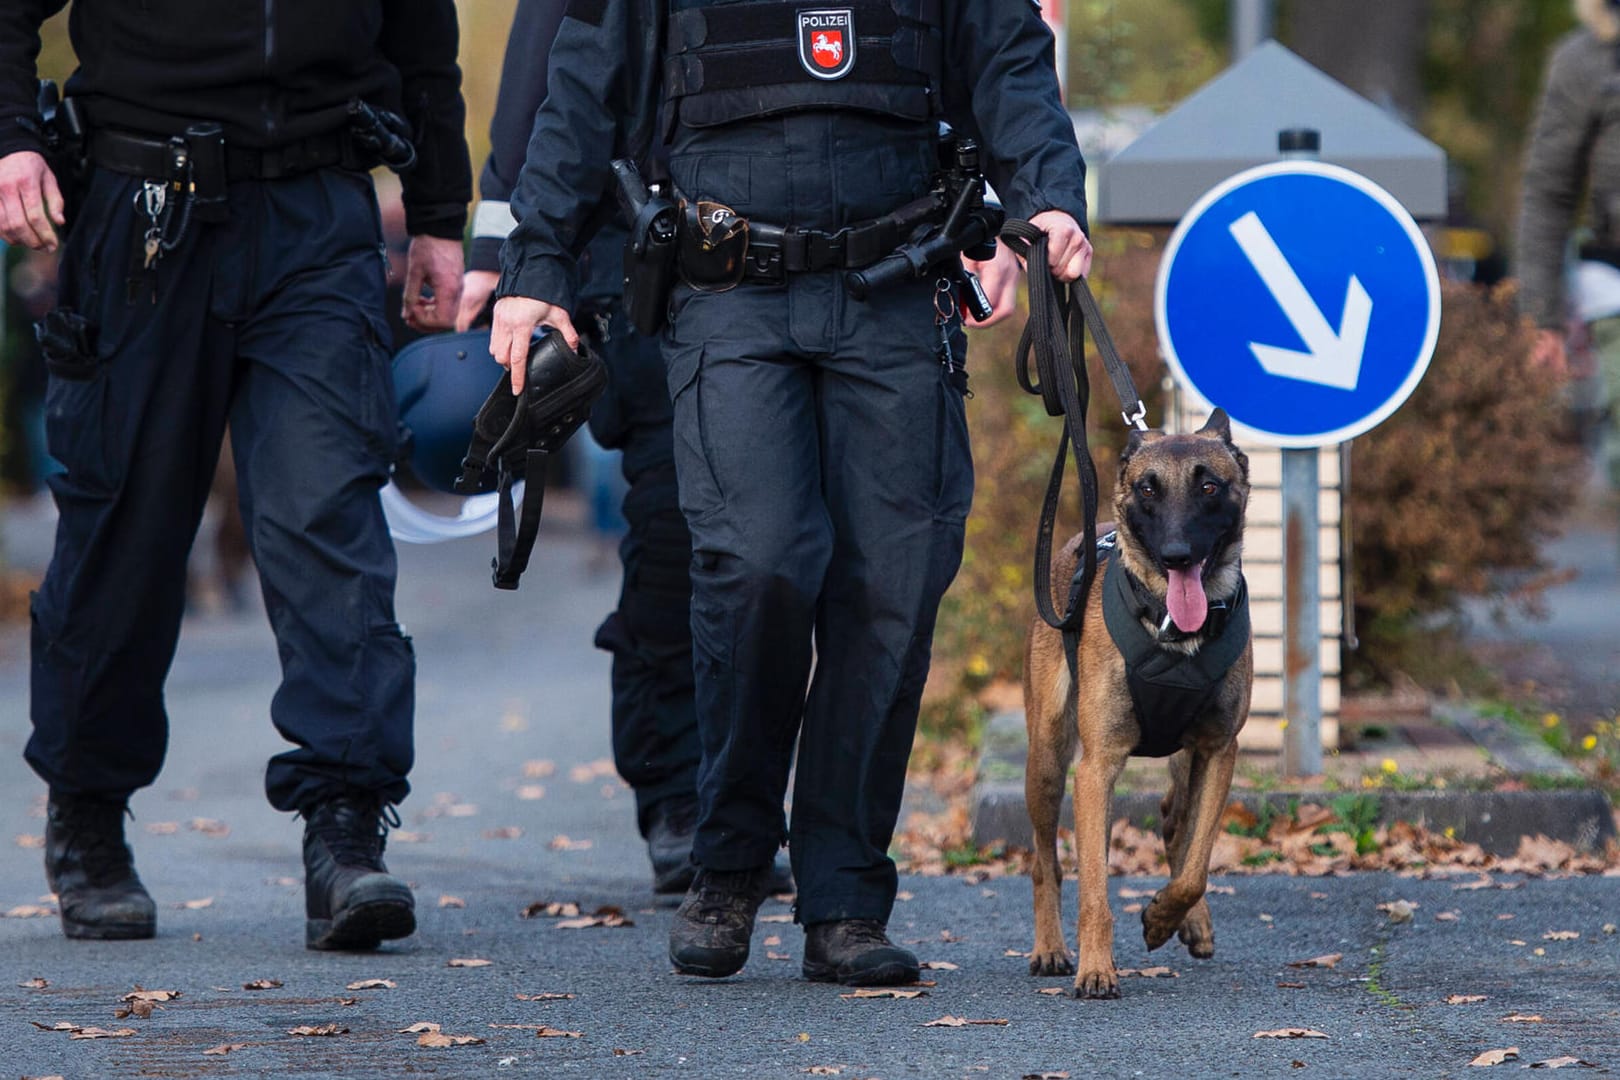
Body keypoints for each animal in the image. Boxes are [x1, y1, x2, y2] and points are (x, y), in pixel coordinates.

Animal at [1023, 409, 1250, 1003]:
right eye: (1148, 489)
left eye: (1209, 487)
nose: (1176, 555)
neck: (1173, 631)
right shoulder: (1096, 769)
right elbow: (1094, 891)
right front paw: (1096, 969)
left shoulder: (1218, 751)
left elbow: (1195, 866)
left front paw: (1165, 917)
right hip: (1048, 765)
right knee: (1046, 864)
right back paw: (1051, 948)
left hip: (1184, 759)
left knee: (1176, 823)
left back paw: (1191, 921)